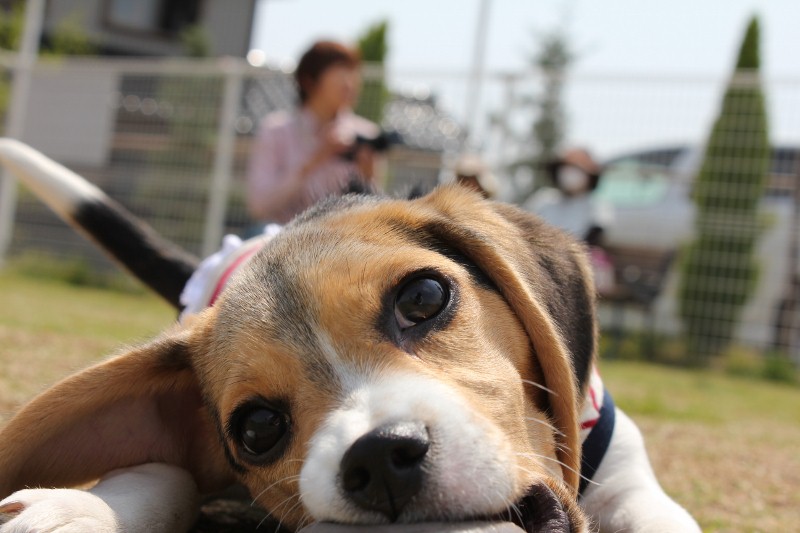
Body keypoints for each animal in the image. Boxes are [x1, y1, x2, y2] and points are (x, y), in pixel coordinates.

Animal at [0, 139, 699, 532]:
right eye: (257, 428)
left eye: (423, 298)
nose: (379, 458)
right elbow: (163, 474)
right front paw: (81, 512)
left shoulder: (629, 477)